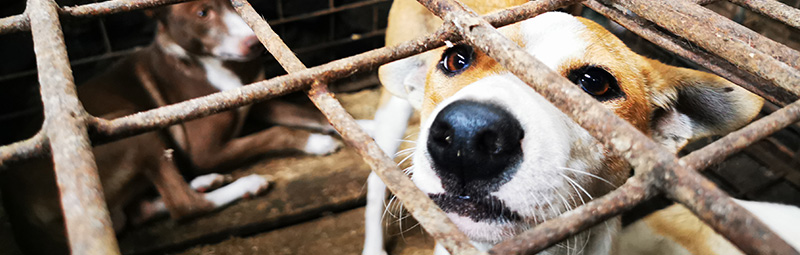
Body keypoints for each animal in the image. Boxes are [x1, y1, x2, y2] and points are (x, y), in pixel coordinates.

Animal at [0, 0, 344, 254]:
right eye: (202, 13)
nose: (253, 45)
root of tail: (21, 220)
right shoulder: (205, 151)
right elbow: (276, 132)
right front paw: (315, 143)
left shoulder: (259, 99)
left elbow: (309, 112)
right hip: (131, 124)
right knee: (183, 205)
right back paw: (242, 185)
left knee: (144, 208)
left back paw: (204, 182)